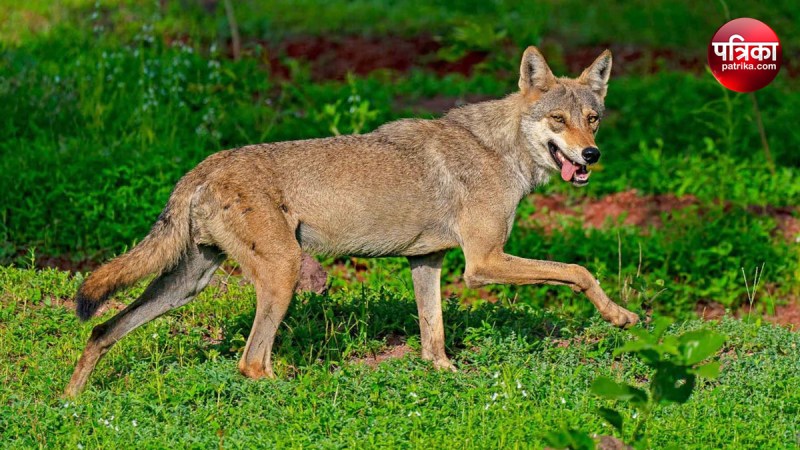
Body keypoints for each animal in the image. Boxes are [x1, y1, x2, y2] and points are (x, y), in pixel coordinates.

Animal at [64, 47, 639, 397]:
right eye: (558, 120)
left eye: (593, 119)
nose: (591, 155)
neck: (499, 152)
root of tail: (205, 164)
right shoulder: (482, 263)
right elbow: (578, 271)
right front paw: (621, 317)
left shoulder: (427, 262)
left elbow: (434, 338)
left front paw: (447, 377)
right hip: (283, 274)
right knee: (252, 364)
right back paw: (303, 389)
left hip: (186, 285)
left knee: (102, 329)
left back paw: (70, 404)